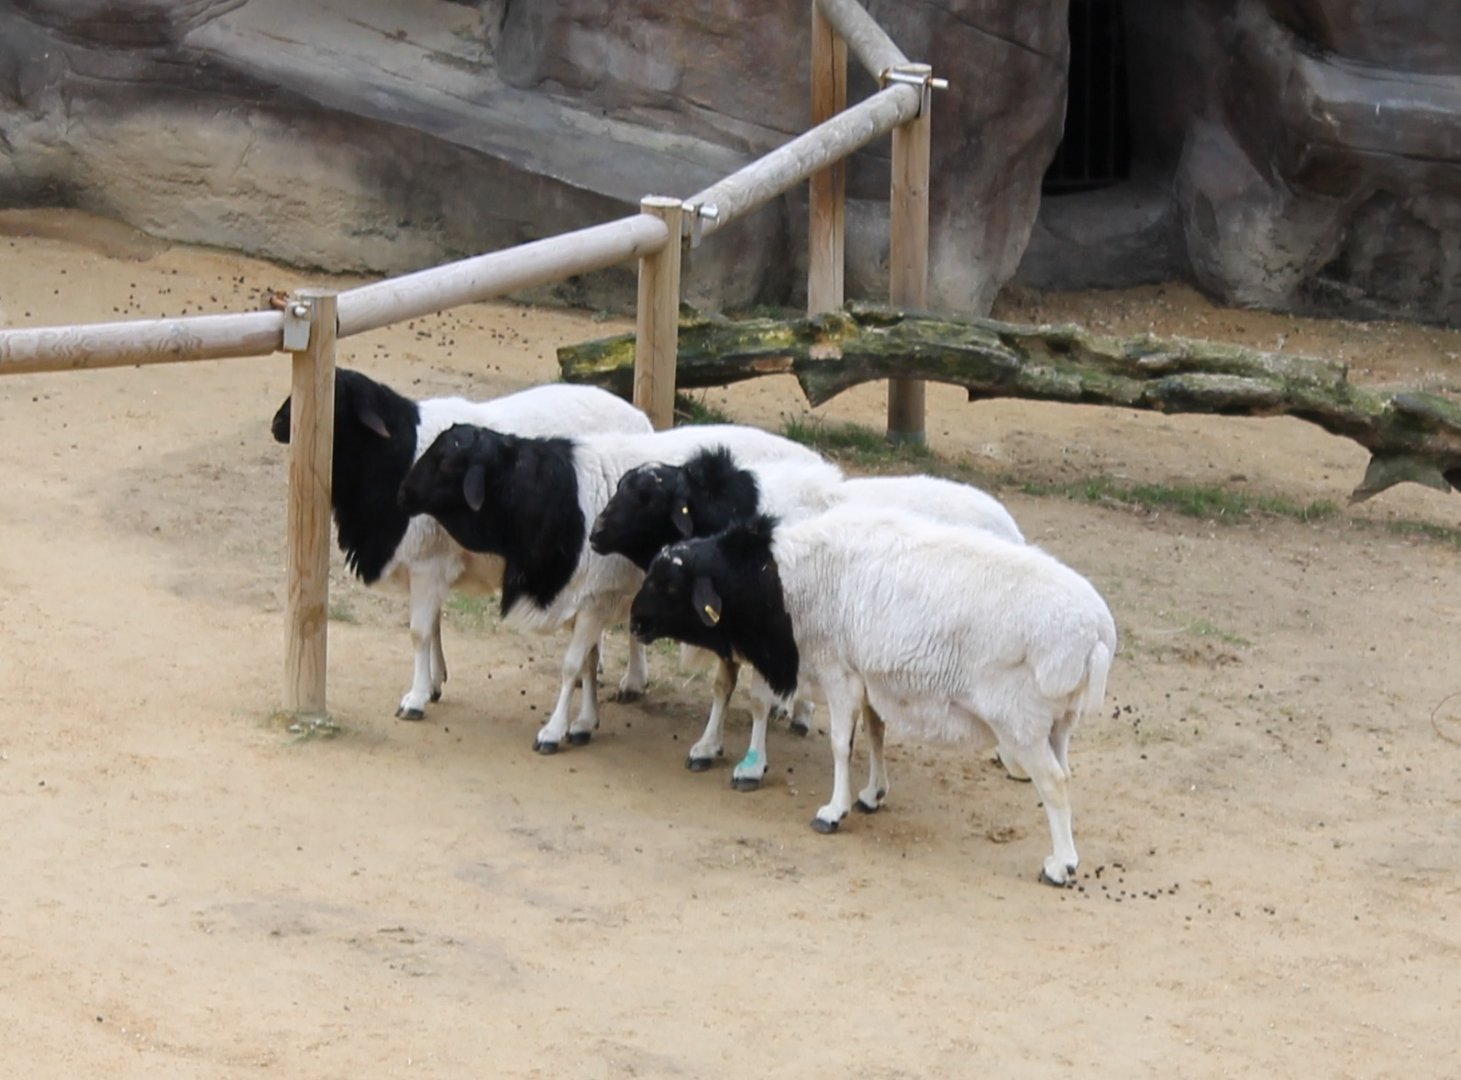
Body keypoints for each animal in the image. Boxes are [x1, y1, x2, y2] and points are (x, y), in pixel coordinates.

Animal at [270, 368, 653, 720]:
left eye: (335, 400)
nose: (277, 424)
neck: (395, 456)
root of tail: (642, 419)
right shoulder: (432, 567)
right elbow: (434, 626)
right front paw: (434, 683)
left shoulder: (428, 562)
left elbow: (419, 632)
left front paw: (415, 698)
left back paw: (633, 681)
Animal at [396, 422, 824, 754]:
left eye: (447, 461)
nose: (403, 493)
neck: (554, 495)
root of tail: (821, 467)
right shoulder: (591, 600)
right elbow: (587, 663)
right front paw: (585, 722)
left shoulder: (594, 600)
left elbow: (571, 666)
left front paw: (553, 731)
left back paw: (799, 713)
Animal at [589, 446, 1027, 788]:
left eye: (647, 496)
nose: (594, 534)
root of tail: (1010, 526)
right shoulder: (735, 624)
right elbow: (723, 686)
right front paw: (708, 746)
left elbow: (757, 697)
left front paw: (753, 760)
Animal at [627, 506, 1116, 886]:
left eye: (668, 584)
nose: (634, 623)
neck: (778, 579)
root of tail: (1097, 633)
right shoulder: (866, 676)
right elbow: (876, 733)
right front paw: (871, 793)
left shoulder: (838, 670)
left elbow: (840, 744)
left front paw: (833, 810)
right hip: (1059, 722)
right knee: (1064, 773)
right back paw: (1066, 857)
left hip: (1020, 720)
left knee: (1053, 783)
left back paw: (1059, 867)